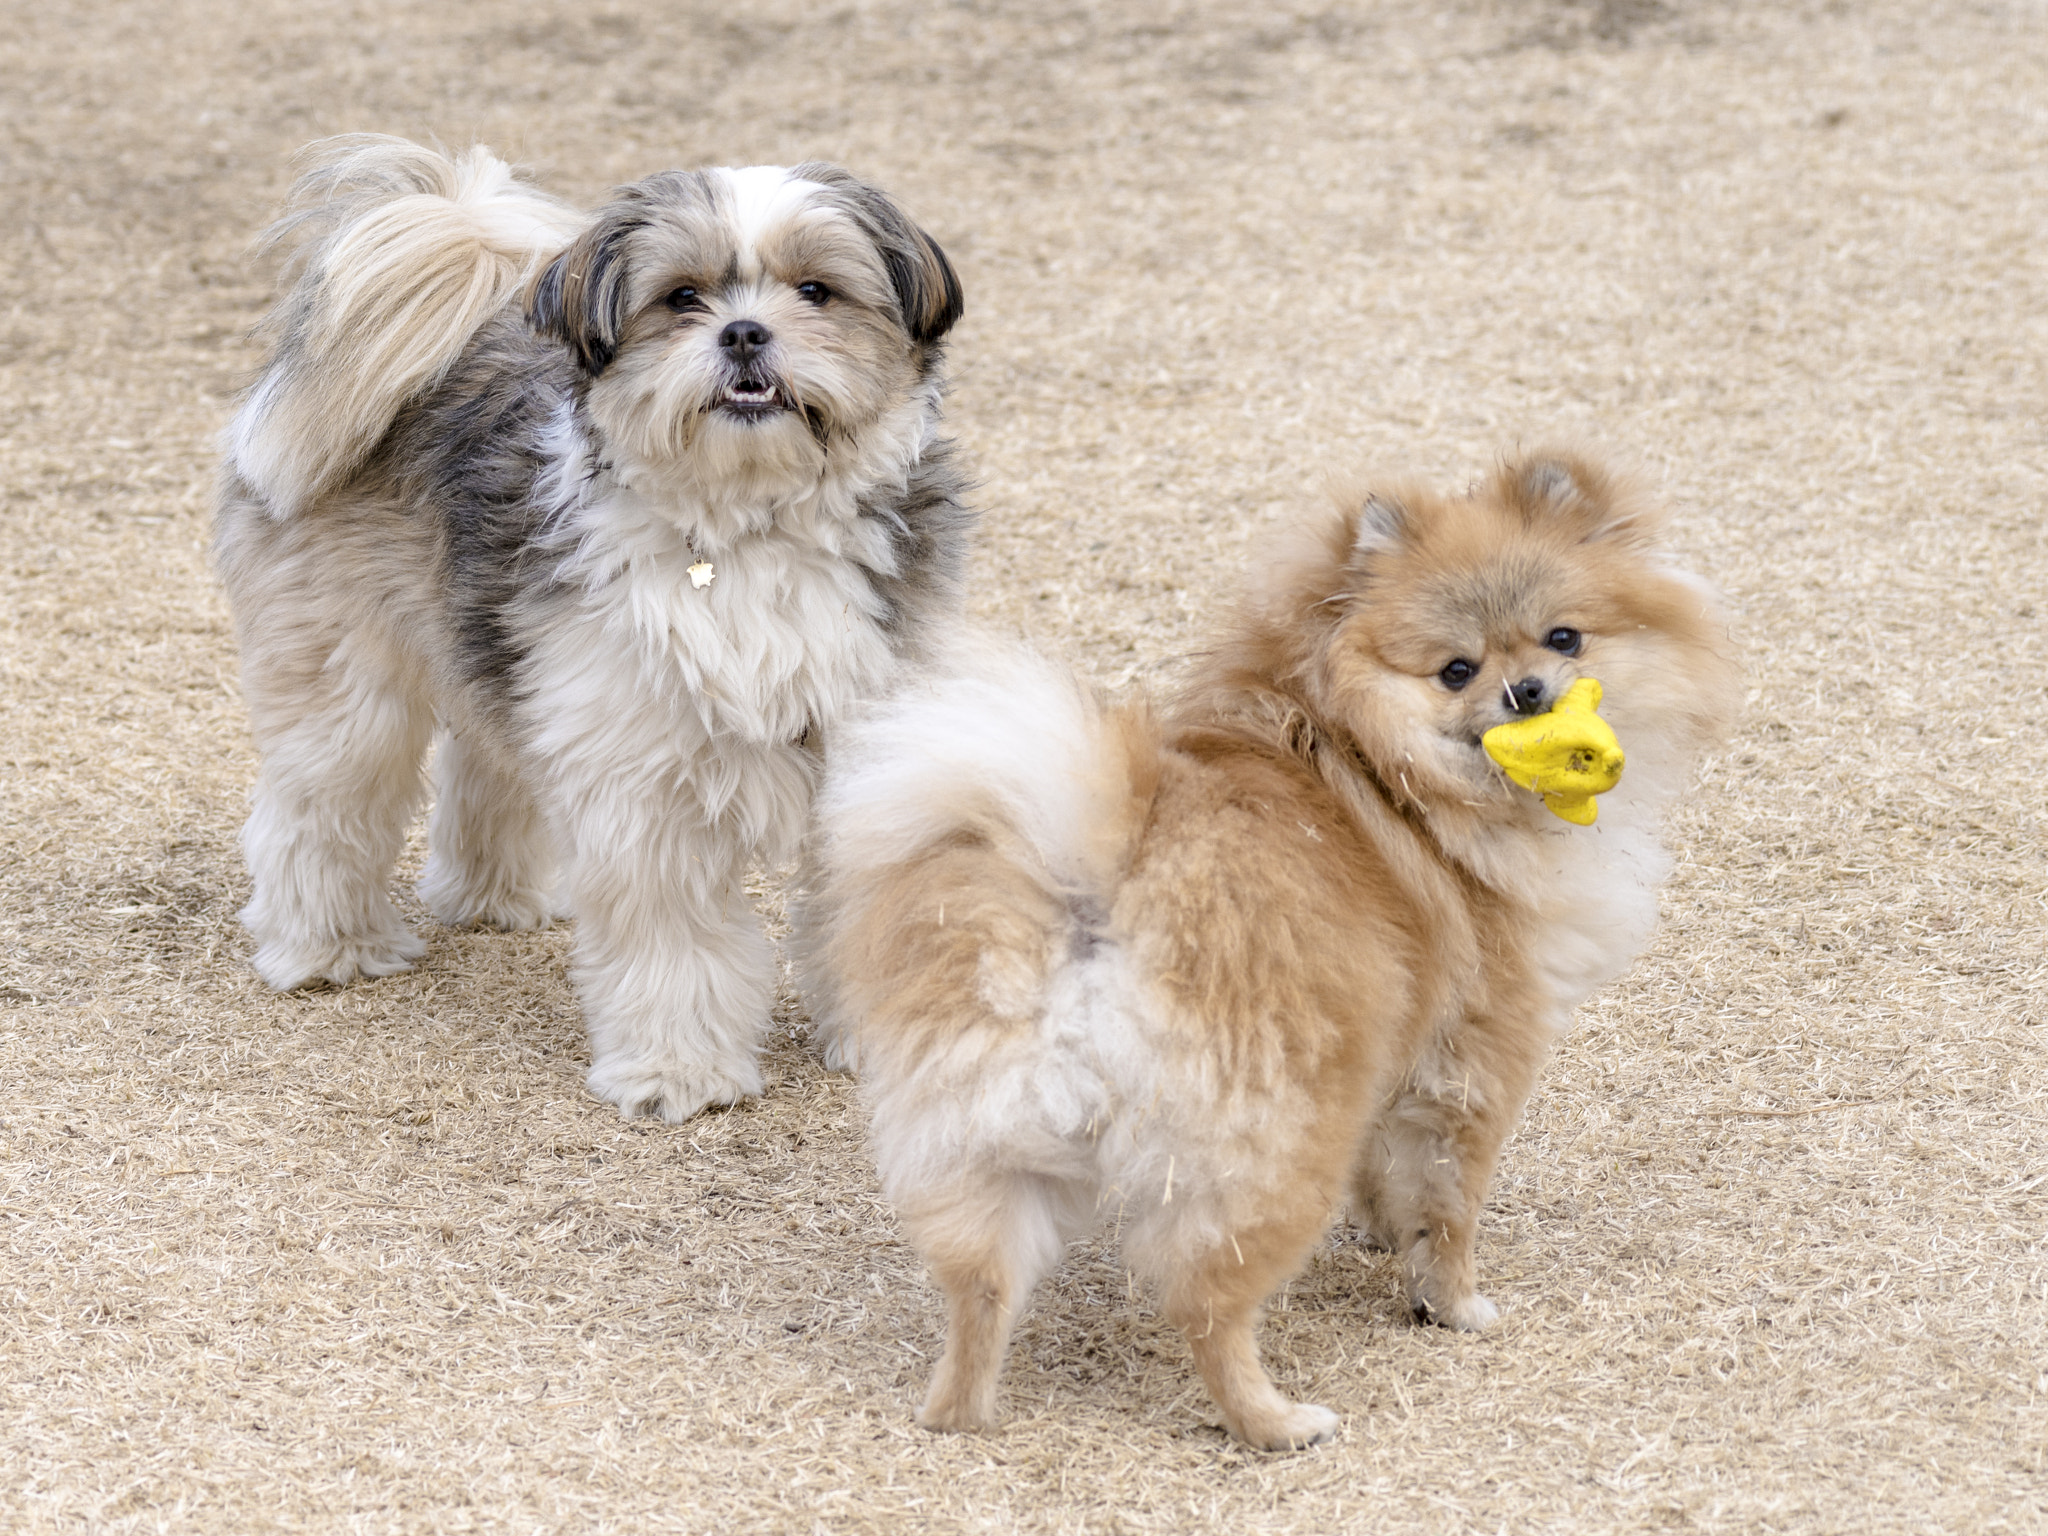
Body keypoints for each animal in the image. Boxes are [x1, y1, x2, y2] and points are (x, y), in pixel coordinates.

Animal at [218, 141, 974, 1122]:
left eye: (816, 291)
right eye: (683, 298)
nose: (743, 333)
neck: (750, 527)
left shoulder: (866, 757)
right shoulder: (644, 786)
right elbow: (675, 946)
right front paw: (678, 1071)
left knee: (485, 761)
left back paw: (492, 898)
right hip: (348, 691)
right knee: (321, 809)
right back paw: (326, 948)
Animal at [806, 454, 1736, 1458]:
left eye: (1565, 637)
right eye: (1456, 671)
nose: (1528, 690)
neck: (1385, 761)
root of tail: (1098, 888)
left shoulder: (1392, 1051)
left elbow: (1388, 1171)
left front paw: (1384, 1235)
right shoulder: (1481, 1054)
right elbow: (1451, 1206)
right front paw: (1452, 1303)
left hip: (987, 1142)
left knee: (980, 1288)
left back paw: (961, 1416)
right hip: (1276, 1148)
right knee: (1206, 1303)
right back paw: (1277, 1422)